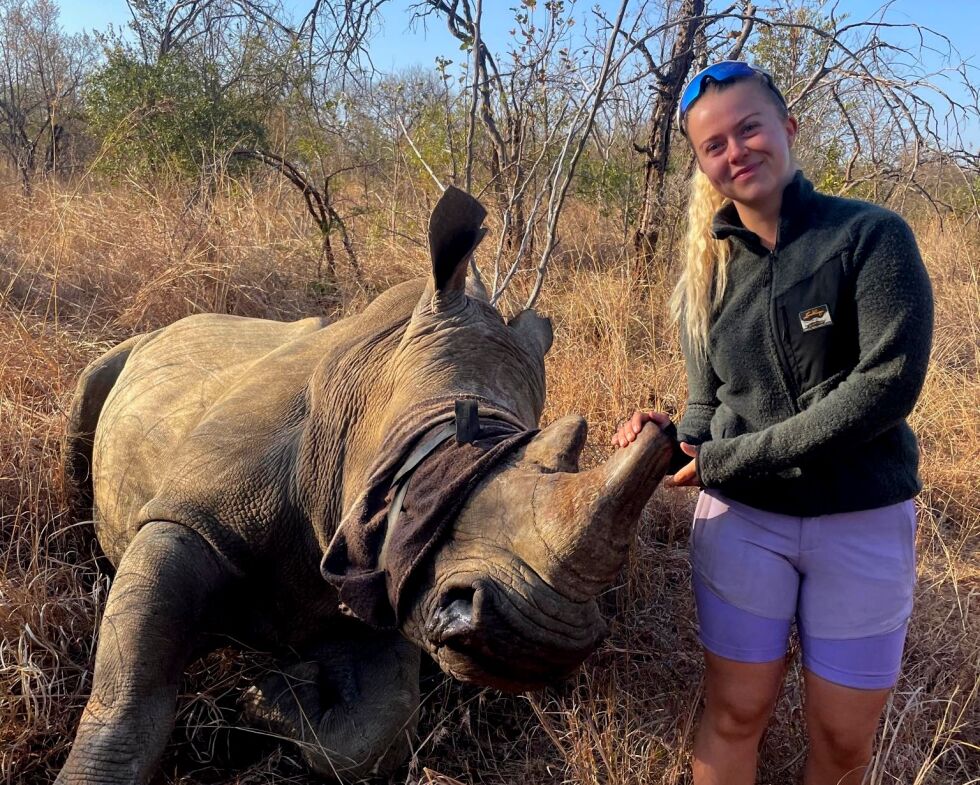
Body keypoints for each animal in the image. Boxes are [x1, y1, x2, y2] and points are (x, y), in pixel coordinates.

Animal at [59, 187, 672, 780]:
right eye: (437, 462)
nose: (537, 639)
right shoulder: (191, 520)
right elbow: (129, 693)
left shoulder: (384, 572)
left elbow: (376, 730)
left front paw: (267, 696)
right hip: (130, 350)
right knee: (86, 399)